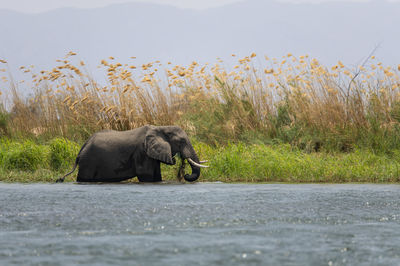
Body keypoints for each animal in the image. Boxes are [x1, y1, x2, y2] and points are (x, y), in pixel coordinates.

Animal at [56, 125, 209, 183]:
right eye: (181, 141)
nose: (186, 175)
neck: (161, 127)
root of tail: (82, 148)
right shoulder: (141, 153)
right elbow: (145, 176)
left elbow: (156, 176)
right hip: (88, 162)